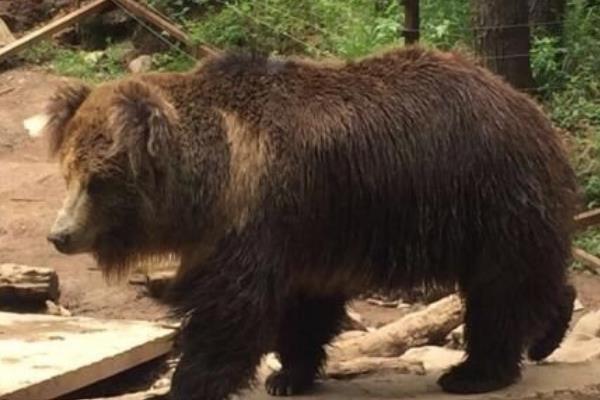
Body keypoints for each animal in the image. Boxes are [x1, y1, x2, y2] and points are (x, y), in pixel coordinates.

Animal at [42, 47, 576, 400]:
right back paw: (546, 333)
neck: (211, 181)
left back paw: (475, 372)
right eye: (68, 172)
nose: (60, 235)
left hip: (485, 194)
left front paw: (188, 383)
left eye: (98, 181)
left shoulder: (258, 219)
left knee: (500, 287)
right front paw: (287, 376)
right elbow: (302, 308)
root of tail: (532, 110)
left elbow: (229, 310)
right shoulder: (309, 235)